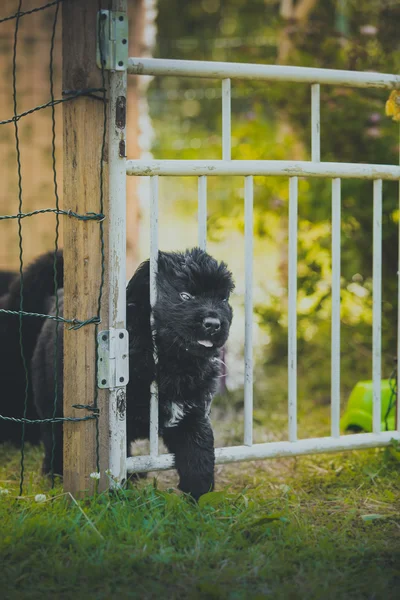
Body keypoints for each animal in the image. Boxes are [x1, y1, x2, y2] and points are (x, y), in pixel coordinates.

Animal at [34, 248, 236, 502]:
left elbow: (199, 451)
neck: (172, 362)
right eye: (185, 295)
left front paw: (200, 498)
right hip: (48, 394)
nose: (213, 323)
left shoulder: (192, 412)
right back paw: (53, 473)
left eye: (223, 300)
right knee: (52, 434)